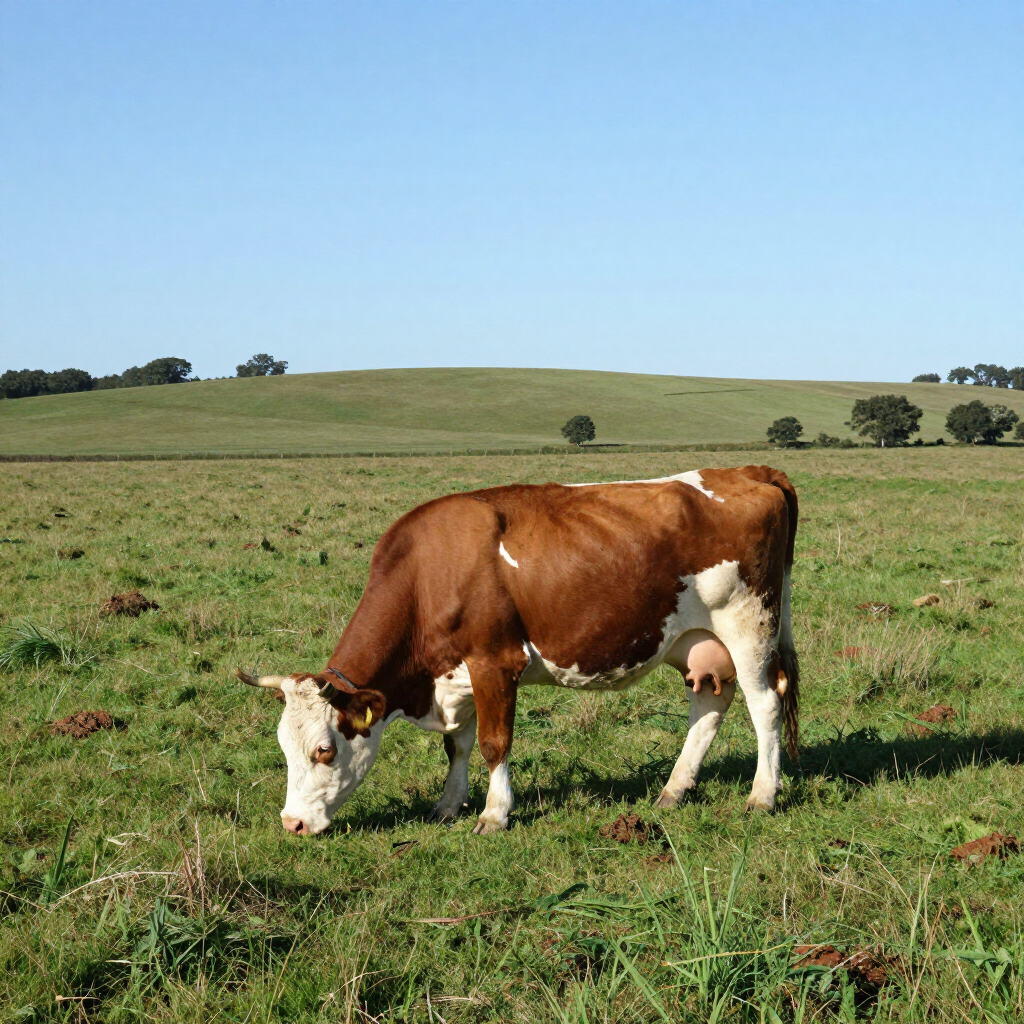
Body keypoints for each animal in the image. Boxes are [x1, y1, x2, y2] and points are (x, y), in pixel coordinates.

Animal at [236, 465, 799, 836]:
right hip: (696, 641)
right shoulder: (456, 677)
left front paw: (493, 813)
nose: (292, 823)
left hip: (750, 624)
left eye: (324, 750)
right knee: (709, 704)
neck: (430, 573)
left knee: (765, 705)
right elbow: (458, 746)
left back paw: (762, 795)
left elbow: (493, 743)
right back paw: (673, 790)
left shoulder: (495, 662)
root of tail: (746, 470)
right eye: (282, 747)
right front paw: (447, 806)